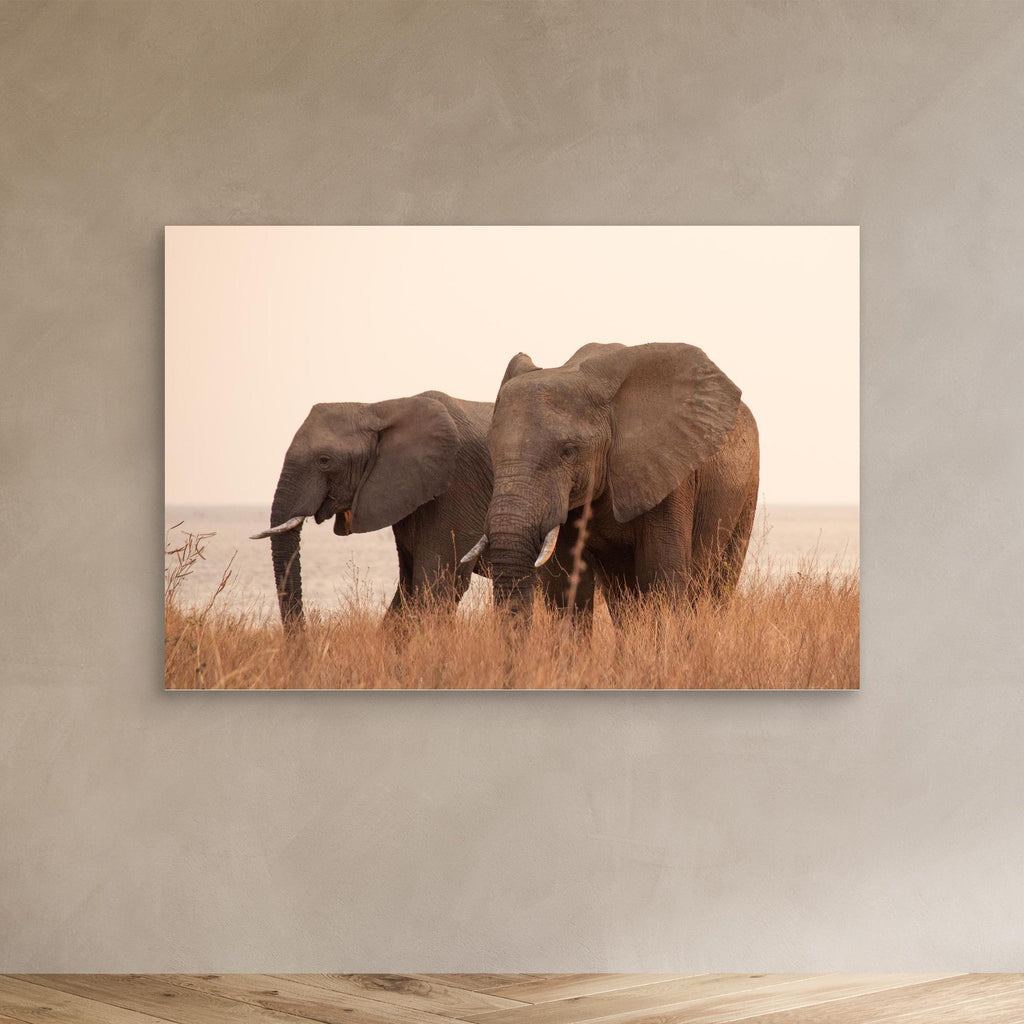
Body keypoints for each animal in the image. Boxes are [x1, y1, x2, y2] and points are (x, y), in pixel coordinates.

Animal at [460, 342, 759, 624]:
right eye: (491, 449)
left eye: (568, 452)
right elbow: (565, 584)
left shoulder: (671, 475)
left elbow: (662, 576)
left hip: (748, 489)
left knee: (719, 582)